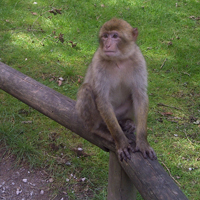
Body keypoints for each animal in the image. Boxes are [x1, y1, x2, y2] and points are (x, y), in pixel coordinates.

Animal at [76, 18, 157, 162]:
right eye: (105, 36)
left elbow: (139, 95)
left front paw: (142, 142)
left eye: (115, 36)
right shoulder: (98, 63)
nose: (107, 45)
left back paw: (127, 122)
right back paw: (98, 130)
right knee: (86, 89)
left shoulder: (139, 61)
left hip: (119, 113)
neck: (119, 60)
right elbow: (102, 99)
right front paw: (121, 142)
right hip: (98, 118)